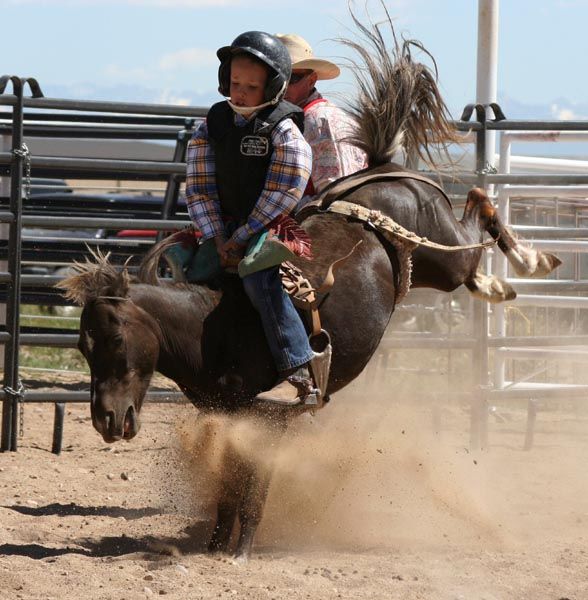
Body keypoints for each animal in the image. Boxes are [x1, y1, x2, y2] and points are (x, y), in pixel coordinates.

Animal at [59, 12, 560, 564]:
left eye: (117, 339)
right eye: (83, 348)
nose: (107, 420)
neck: (209, 326)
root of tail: (377, 172)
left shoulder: (266, 420)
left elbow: (252, 489)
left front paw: (241, 551)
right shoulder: (226, 417)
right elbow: (227, 490)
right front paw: (213, 546)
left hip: (439, 247)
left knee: (475, 219)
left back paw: (527, 262)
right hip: (429, 264)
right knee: (471, 241)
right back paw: (503, 281)